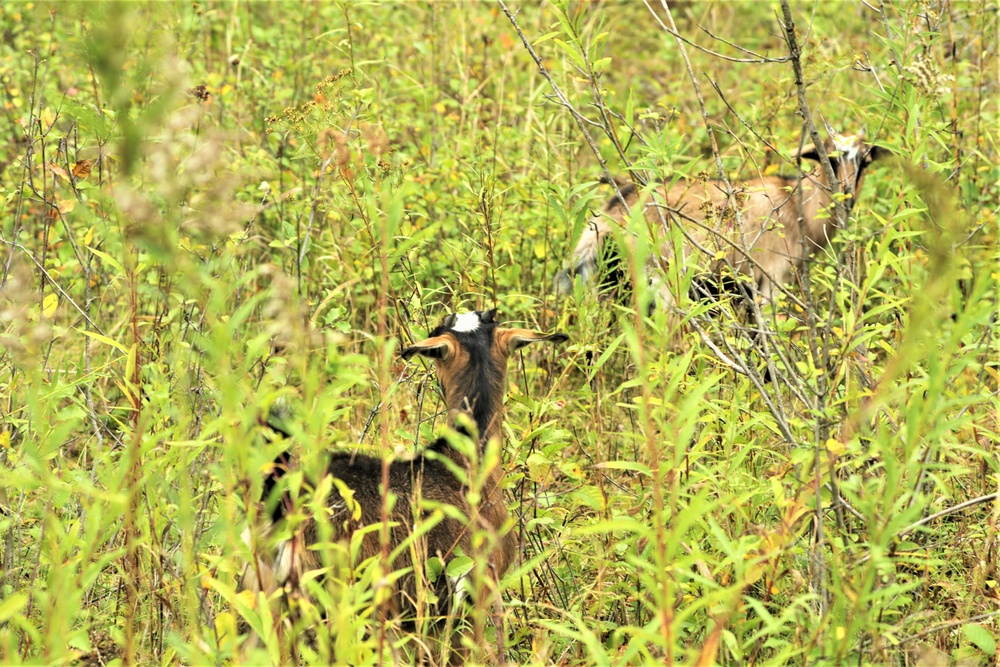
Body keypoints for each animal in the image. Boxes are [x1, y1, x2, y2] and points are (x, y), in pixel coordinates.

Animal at [556, 129, 892, 310]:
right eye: (830, 159)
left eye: (866, 162)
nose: (846, 194)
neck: (799, 208)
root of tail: (610, 211)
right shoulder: (771, 278)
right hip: (658, 279)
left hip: (607, 278)